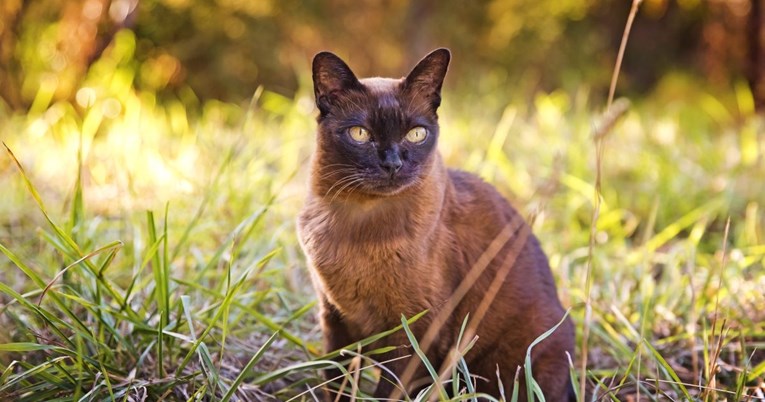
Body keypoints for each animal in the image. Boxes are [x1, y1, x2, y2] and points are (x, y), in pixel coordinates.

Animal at [296, 48, 572, 400]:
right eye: (360, 134)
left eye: (416, 134)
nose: (392, 164)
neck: (357, 224)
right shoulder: (335, 320)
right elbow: (335, 382)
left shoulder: (415, 332)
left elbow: (389, 392)